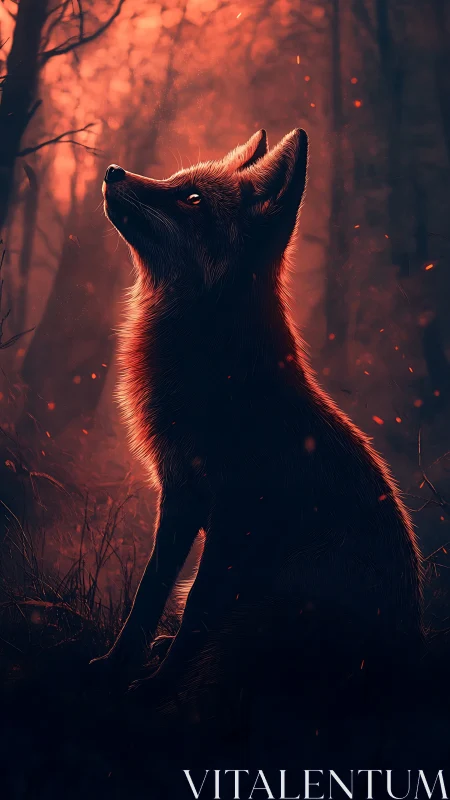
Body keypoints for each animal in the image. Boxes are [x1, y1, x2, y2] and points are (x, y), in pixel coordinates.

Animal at [90, 129, 423, 704]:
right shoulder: (181, 494)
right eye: (176, 181)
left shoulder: (233, 513)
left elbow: (196, 608)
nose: (113, 171)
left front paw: (157, 689)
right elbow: (149, 593)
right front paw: (115, 668)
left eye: (192, 200)